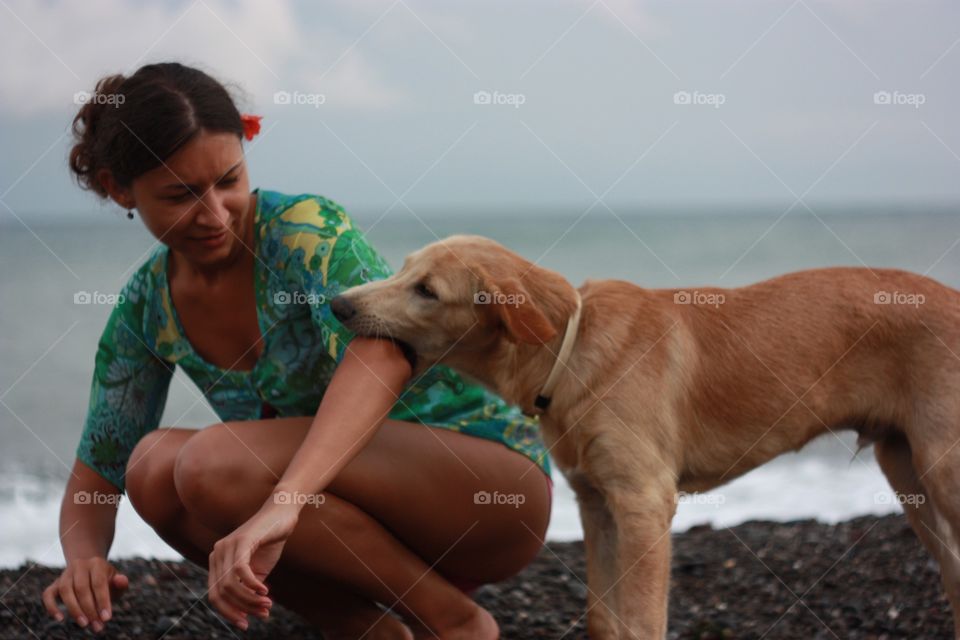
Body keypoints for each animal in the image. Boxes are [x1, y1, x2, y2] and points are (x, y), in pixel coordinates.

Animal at [332, 235, 960, 640]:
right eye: (402, 269)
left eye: (427, 291)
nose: (337, 303)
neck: (570, 349)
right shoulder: (596, 504)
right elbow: (602, 617)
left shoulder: (644, 505)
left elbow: (639, 621)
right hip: (906, 471)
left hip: (942, 470)